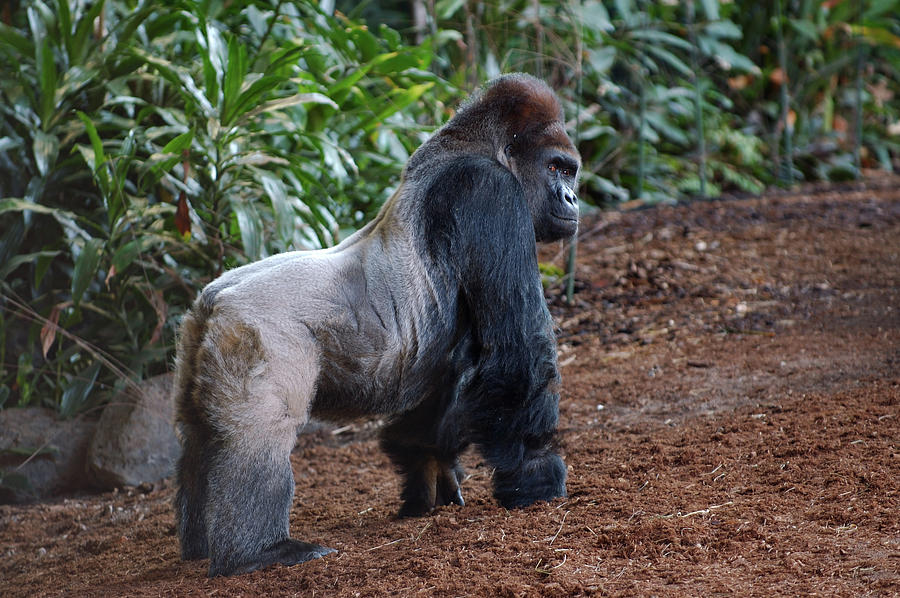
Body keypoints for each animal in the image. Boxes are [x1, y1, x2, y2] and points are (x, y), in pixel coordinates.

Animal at [174, 72, 584, 580]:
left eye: (570, 172)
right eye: (556, 169)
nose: (573, 198)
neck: (474, 145)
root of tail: (214, 301)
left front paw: (428, 467)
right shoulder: (488, 194)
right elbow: (518, 354)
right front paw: (535, 473)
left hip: (196, 341)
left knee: (199, 436)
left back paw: (198, 547)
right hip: (253, 331)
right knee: (259, 434)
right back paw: (255, 553)